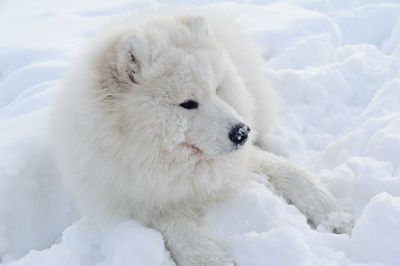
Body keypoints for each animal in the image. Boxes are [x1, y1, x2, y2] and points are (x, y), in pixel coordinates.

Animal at [52, 11, 350, 264]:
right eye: (188, 103)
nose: (242, 133)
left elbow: (293, 173)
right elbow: (182, 233)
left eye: (217, 90)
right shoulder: (138, 202)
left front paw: (336, 218)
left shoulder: (238, 161)